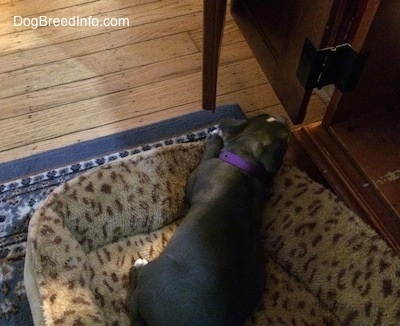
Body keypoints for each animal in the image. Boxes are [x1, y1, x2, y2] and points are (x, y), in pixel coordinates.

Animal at [130, 113, 290, 324]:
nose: (283, 118)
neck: (245, 163)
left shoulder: (197, 175)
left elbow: (207, 155)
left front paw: (215, 137)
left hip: (152, 275)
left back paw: (138, 266)